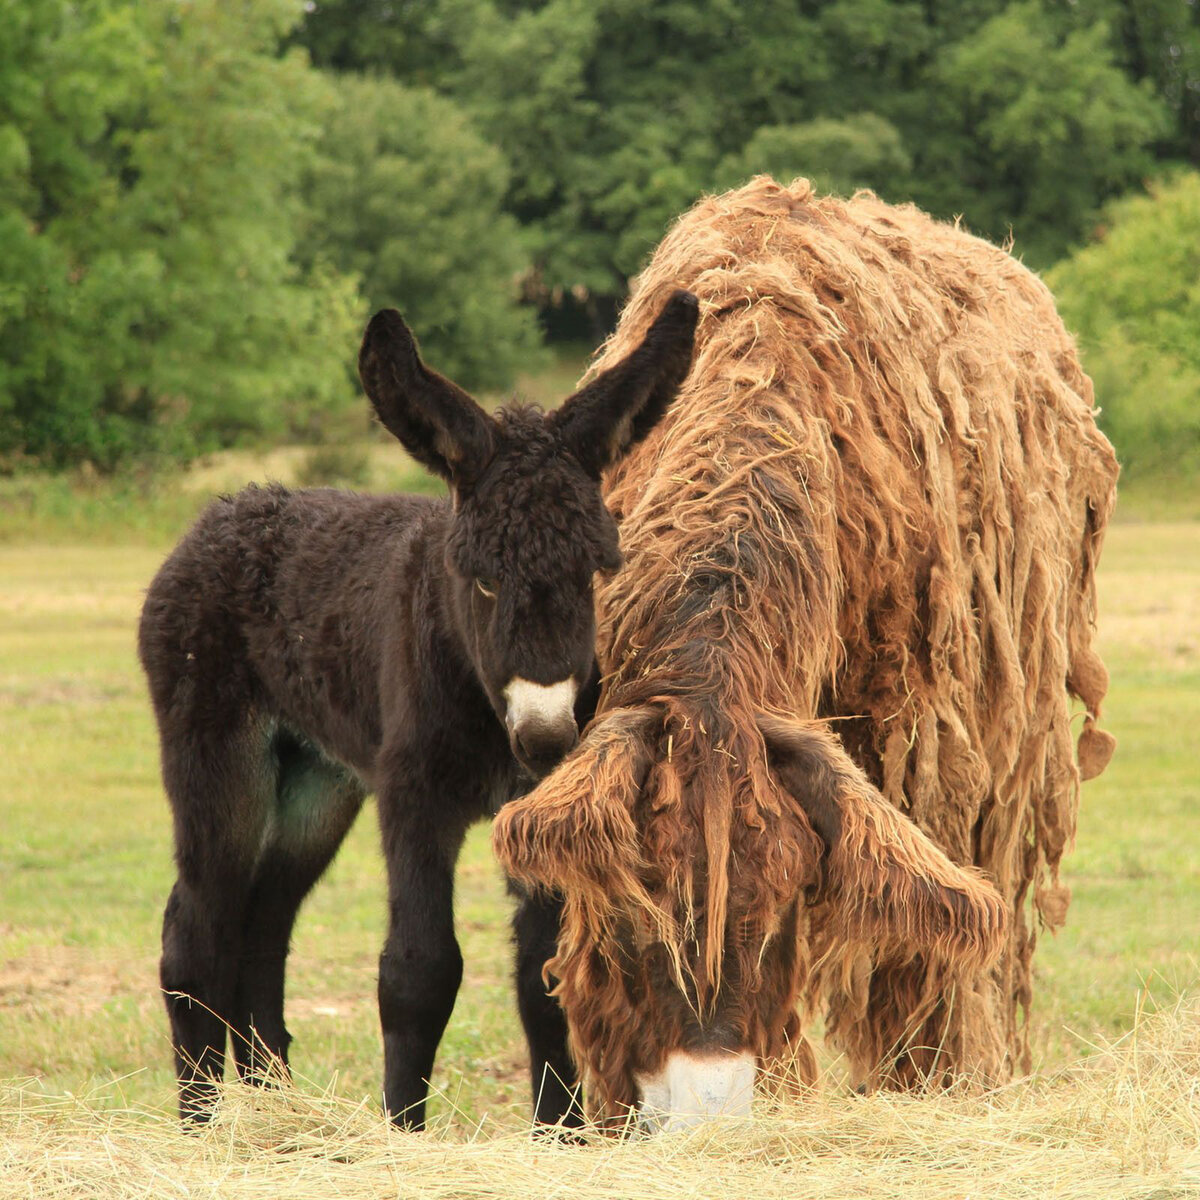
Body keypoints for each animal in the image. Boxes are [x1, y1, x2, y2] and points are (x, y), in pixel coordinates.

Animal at [136, 288, 700, 1123]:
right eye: (483, 579)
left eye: (598, 572)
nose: (545, 738)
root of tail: (223, 514)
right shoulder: (413, 796)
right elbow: (418, 972)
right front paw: (404, 1128)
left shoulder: (539, 810)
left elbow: (544, 977)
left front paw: (560, 1132)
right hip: (217, 759)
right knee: (197, 931)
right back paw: (205, 1123)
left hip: (317, 783)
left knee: (262, 926)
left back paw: (282, 1111)